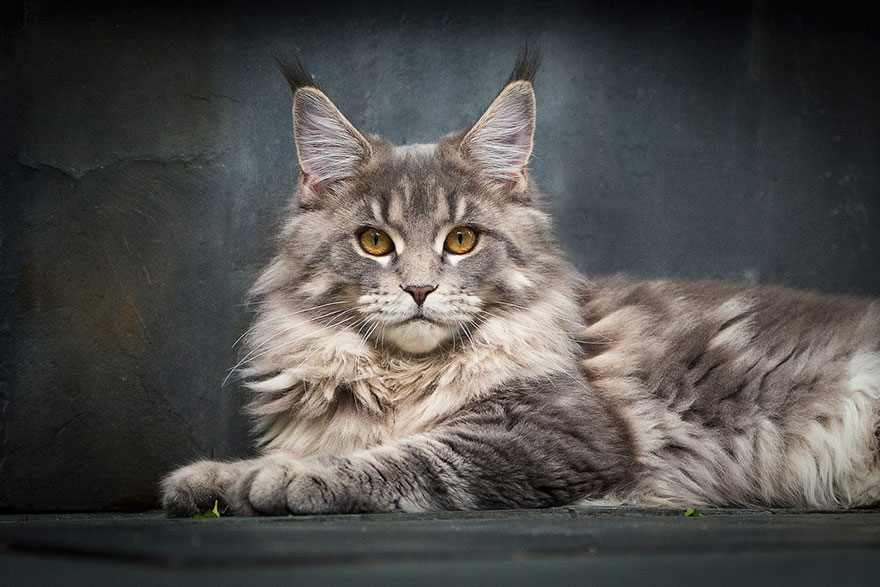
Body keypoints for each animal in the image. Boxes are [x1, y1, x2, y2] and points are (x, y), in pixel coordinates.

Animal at [160, 51, 880, 520]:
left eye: (461, 240)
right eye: (375, 242)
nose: (419, 290)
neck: (400, 381)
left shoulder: (553, 434)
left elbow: (399, 458)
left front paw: (283, 478)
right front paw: (211, 479)